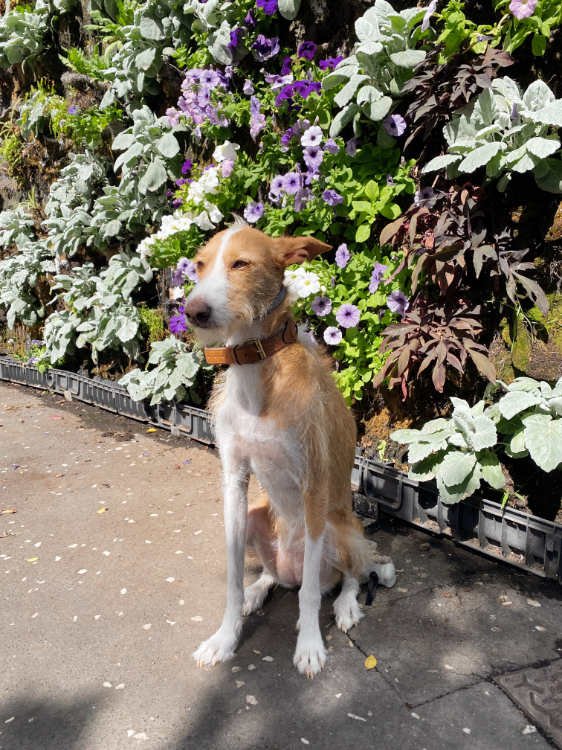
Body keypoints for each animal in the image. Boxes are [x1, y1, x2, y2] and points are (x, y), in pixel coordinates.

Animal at [185, 220, 394, 680]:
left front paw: (310, 646)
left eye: (241, 264)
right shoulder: (235, 482)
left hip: (339, 528)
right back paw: (258, 591)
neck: (258, 369)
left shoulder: (313, 486)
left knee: (349, 574)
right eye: (200, 265)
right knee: (275, 577)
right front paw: (225, 637)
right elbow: (232, 580)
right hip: (255, 519)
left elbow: (312, 594)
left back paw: (346, 604)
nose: (194, 312)